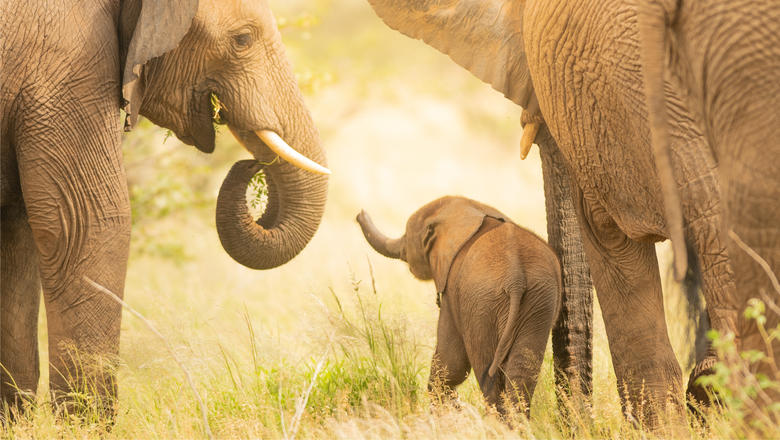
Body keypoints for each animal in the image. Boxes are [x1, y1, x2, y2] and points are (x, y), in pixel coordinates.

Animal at [0, 0, 329, 417]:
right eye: (242, 39)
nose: (251, 163)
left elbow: (17, 237)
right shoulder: (64, 62)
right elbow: (90, 225)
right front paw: (85, 424)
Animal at [356, 196, 562, 414]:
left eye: (408, 238)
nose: (359, 213)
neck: (472, 208)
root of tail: (516, 279)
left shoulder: (450, 290)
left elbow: (452, 361)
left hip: (482, 304)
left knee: (487, 373)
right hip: (538, 301)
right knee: (522, 372)